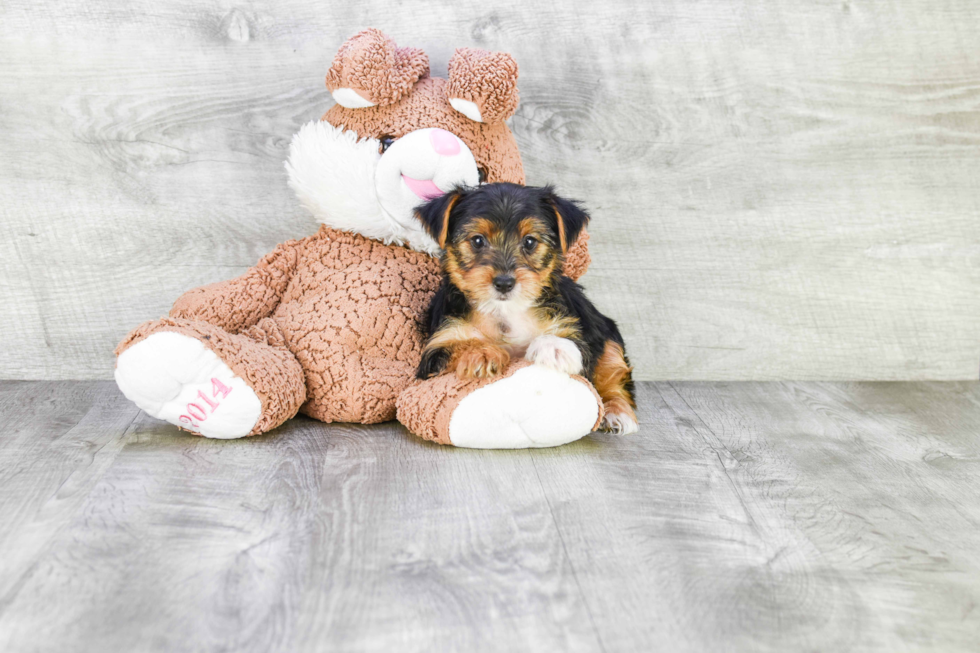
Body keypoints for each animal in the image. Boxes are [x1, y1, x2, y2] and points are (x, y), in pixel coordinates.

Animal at [416, 181, 640, 432]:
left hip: (607, 333)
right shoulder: (438, 344)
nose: (504, 283)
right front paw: (481, 352)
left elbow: (576, 348)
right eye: (477, 241)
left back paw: (617, 412)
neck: (505, 310)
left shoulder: (574, 328)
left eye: (530, 242)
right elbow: (456, 345)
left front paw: (553, 347)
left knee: (613, 373)